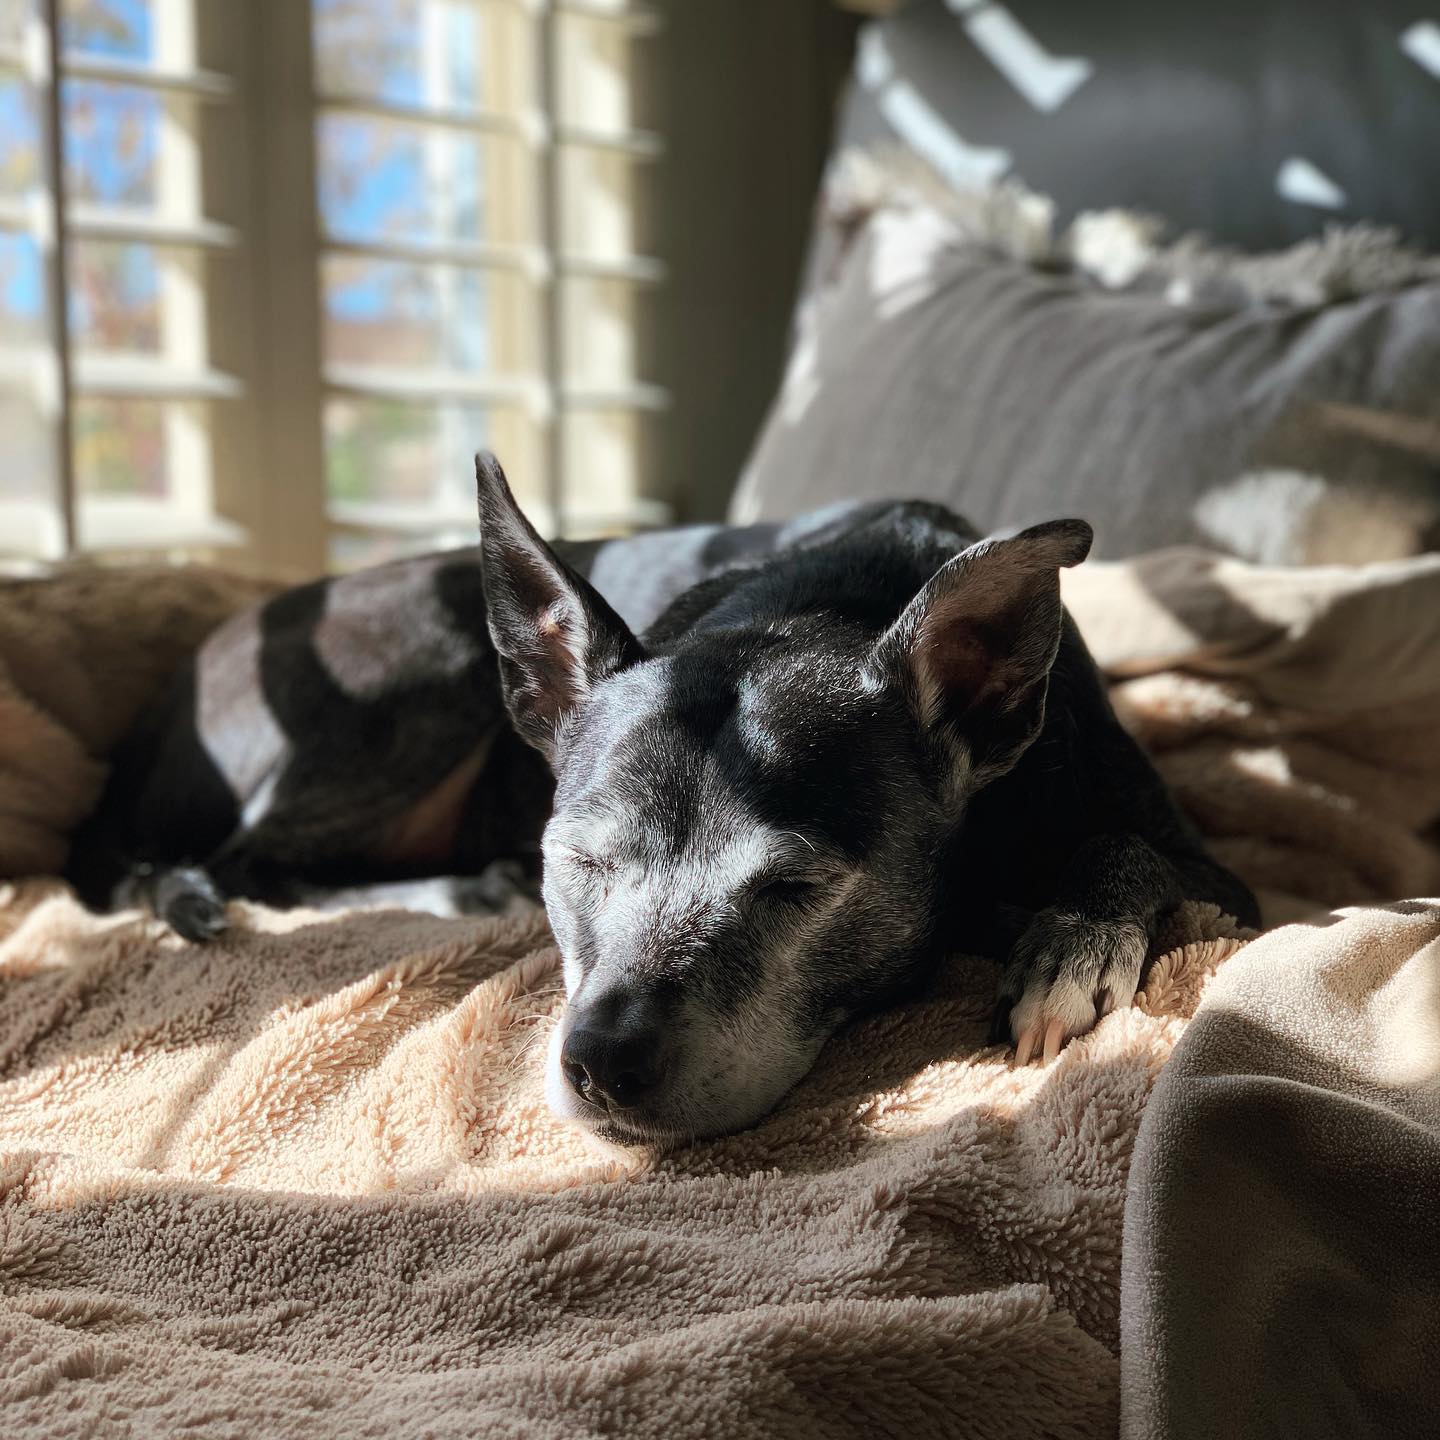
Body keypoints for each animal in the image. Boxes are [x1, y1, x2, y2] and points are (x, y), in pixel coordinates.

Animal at [70, 455, 1261, 1140]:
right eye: (577, 864)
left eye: (795, 889)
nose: (600, 1066)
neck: (827, 599)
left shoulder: (1217, 873)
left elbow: (1122, 852)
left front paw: (1067, 949)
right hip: (426, 661)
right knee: (241, 862)